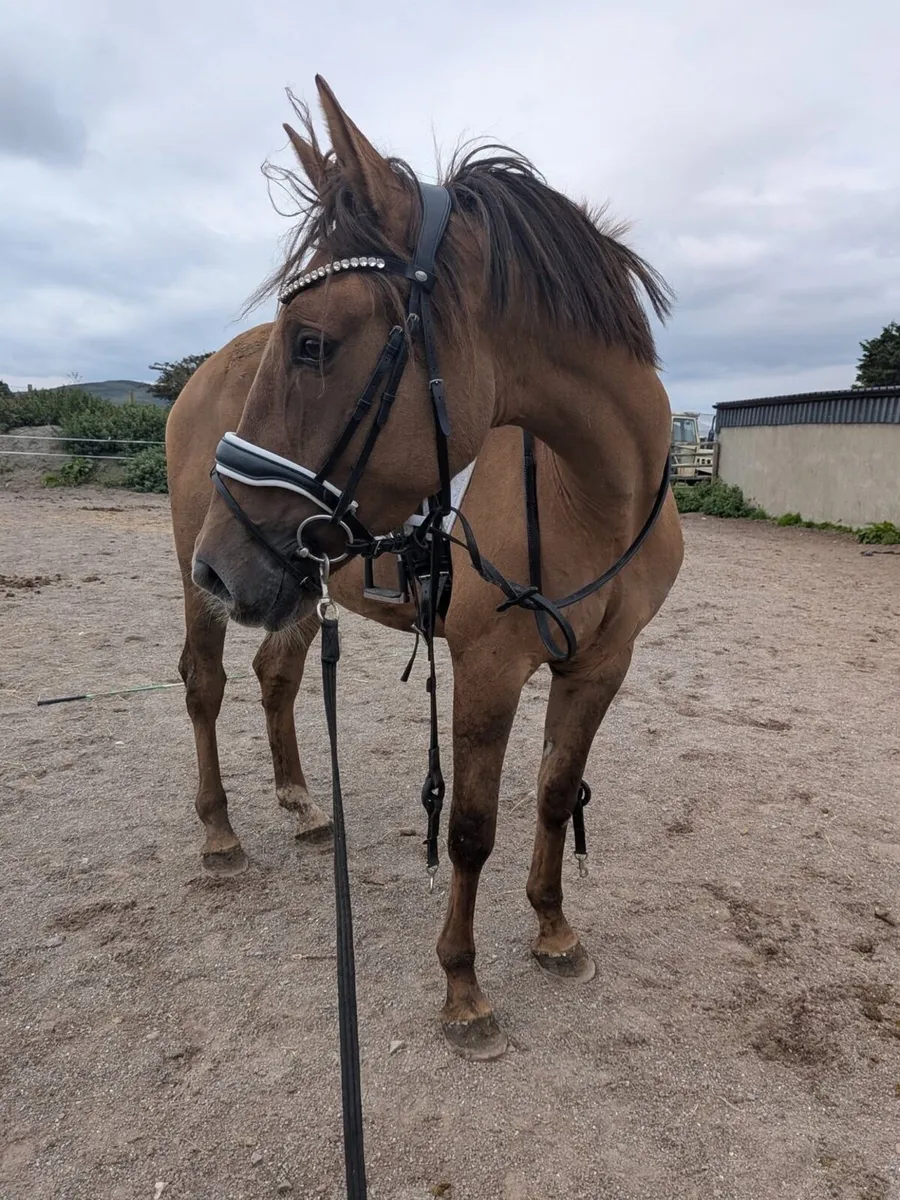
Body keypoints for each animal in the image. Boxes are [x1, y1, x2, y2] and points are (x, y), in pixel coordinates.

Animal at [166, 75, 684, 1062]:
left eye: (314, 343)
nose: (221, 564)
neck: (591, 494)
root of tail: (200, 373)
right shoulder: (489, 665)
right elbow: (473, 828)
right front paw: (463, 988)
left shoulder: (602, 665)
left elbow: (553, 795)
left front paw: (553, 931)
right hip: (209, 580)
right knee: (205, 683)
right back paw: (219, 835)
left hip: (294, 584)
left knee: (275, 675)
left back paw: (301, 803)